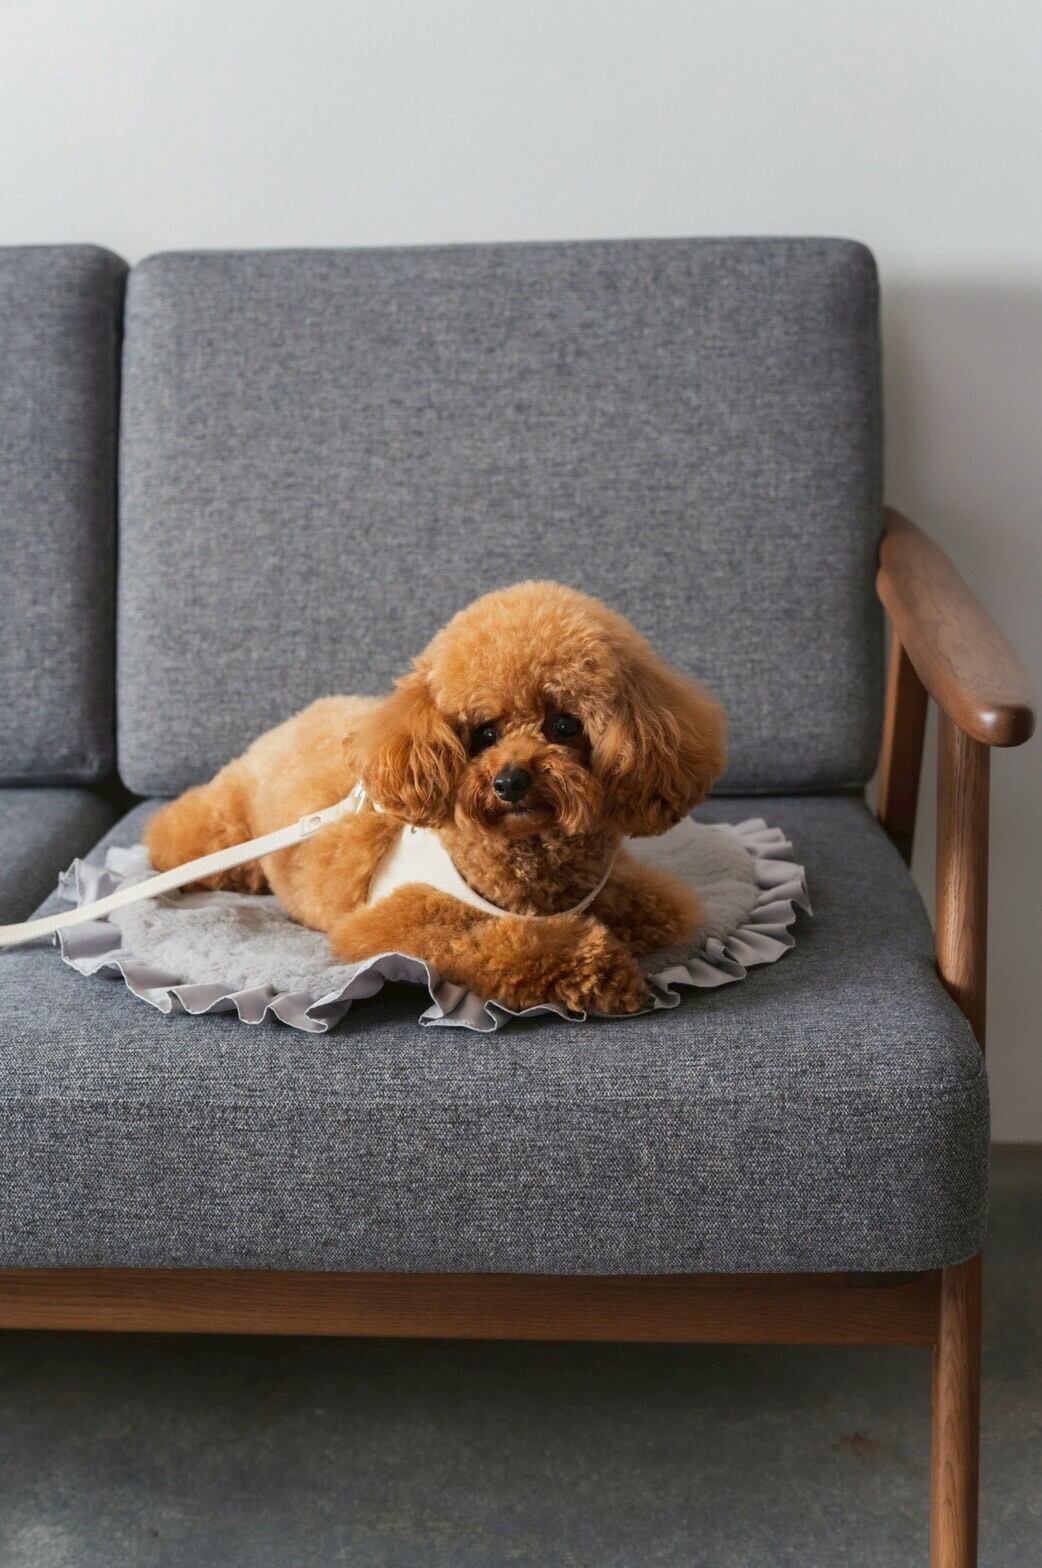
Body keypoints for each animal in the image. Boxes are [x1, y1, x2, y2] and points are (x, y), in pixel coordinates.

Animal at [145, 582, 726, 1015]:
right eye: (485, 732)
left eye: (564, 724)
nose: (509, 783)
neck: (528, 863)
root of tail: (292, 720)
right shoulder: (396, 923)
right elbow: (498, 942)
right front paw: (602, 969)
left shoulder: (628, 889)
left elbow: (663, 908)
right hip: (224, 823)